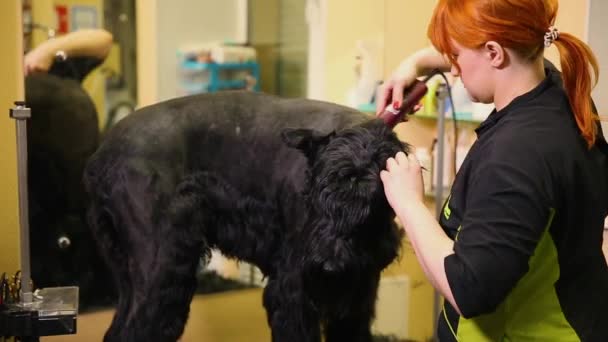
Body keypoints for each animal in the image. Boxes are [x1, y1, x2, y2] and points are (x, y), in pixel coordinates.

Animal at [83, 91, 408, 342]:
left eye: (372, 204)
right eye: (315, 196)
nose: (329, 267)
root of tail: (101, 155)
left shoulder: (358, 297)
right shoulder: (292, 290)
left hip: (130, 275)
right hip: (160, 272)